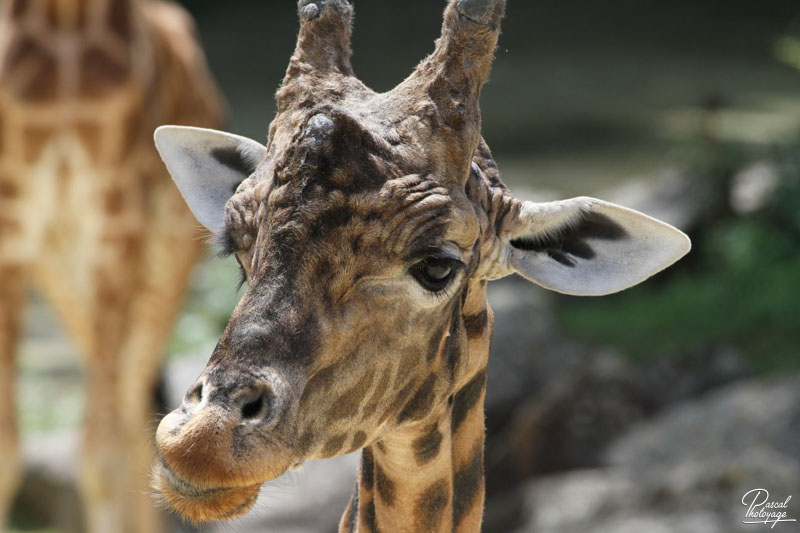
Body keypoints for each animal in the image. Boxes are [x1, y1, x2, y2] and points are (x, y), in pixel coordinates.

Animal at [0, 1, 222, 532]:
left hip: (162, 263)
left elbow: (97, 458)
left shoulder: (116, 224)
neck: (64, 22)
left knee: (131, 417)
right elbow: (6, 452)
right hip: (64, 272)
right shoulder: (11, 227)